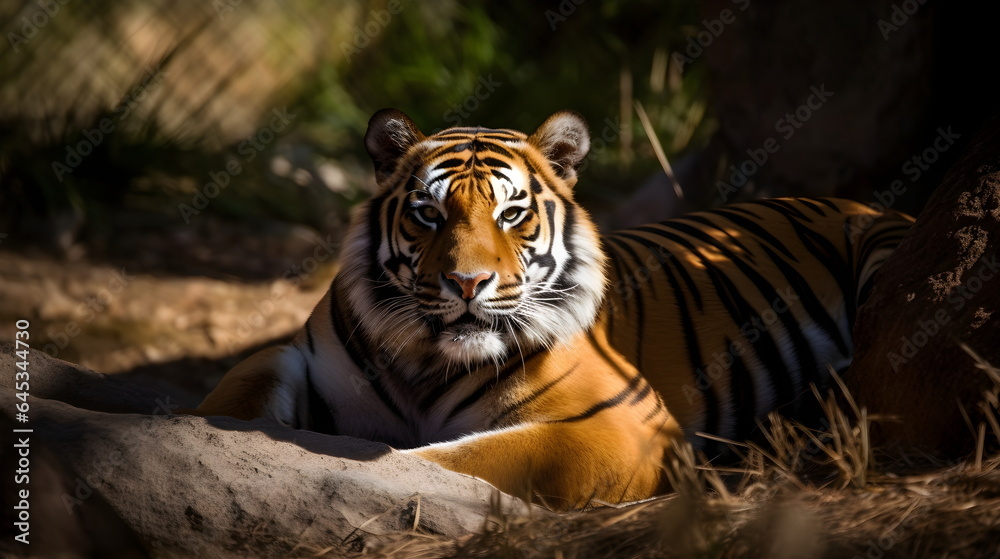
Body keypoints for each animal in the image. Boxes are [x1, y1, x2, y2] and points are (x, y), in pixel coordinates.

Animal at [195, 109, 914, 510]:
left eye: (511, 214)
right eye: (429, 214)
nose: (467, 282)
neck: (427, 364)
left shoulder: (620, 422)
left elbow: (450, 460)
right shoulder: (297, 356)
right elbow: (231, 399)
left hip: (883, 248)